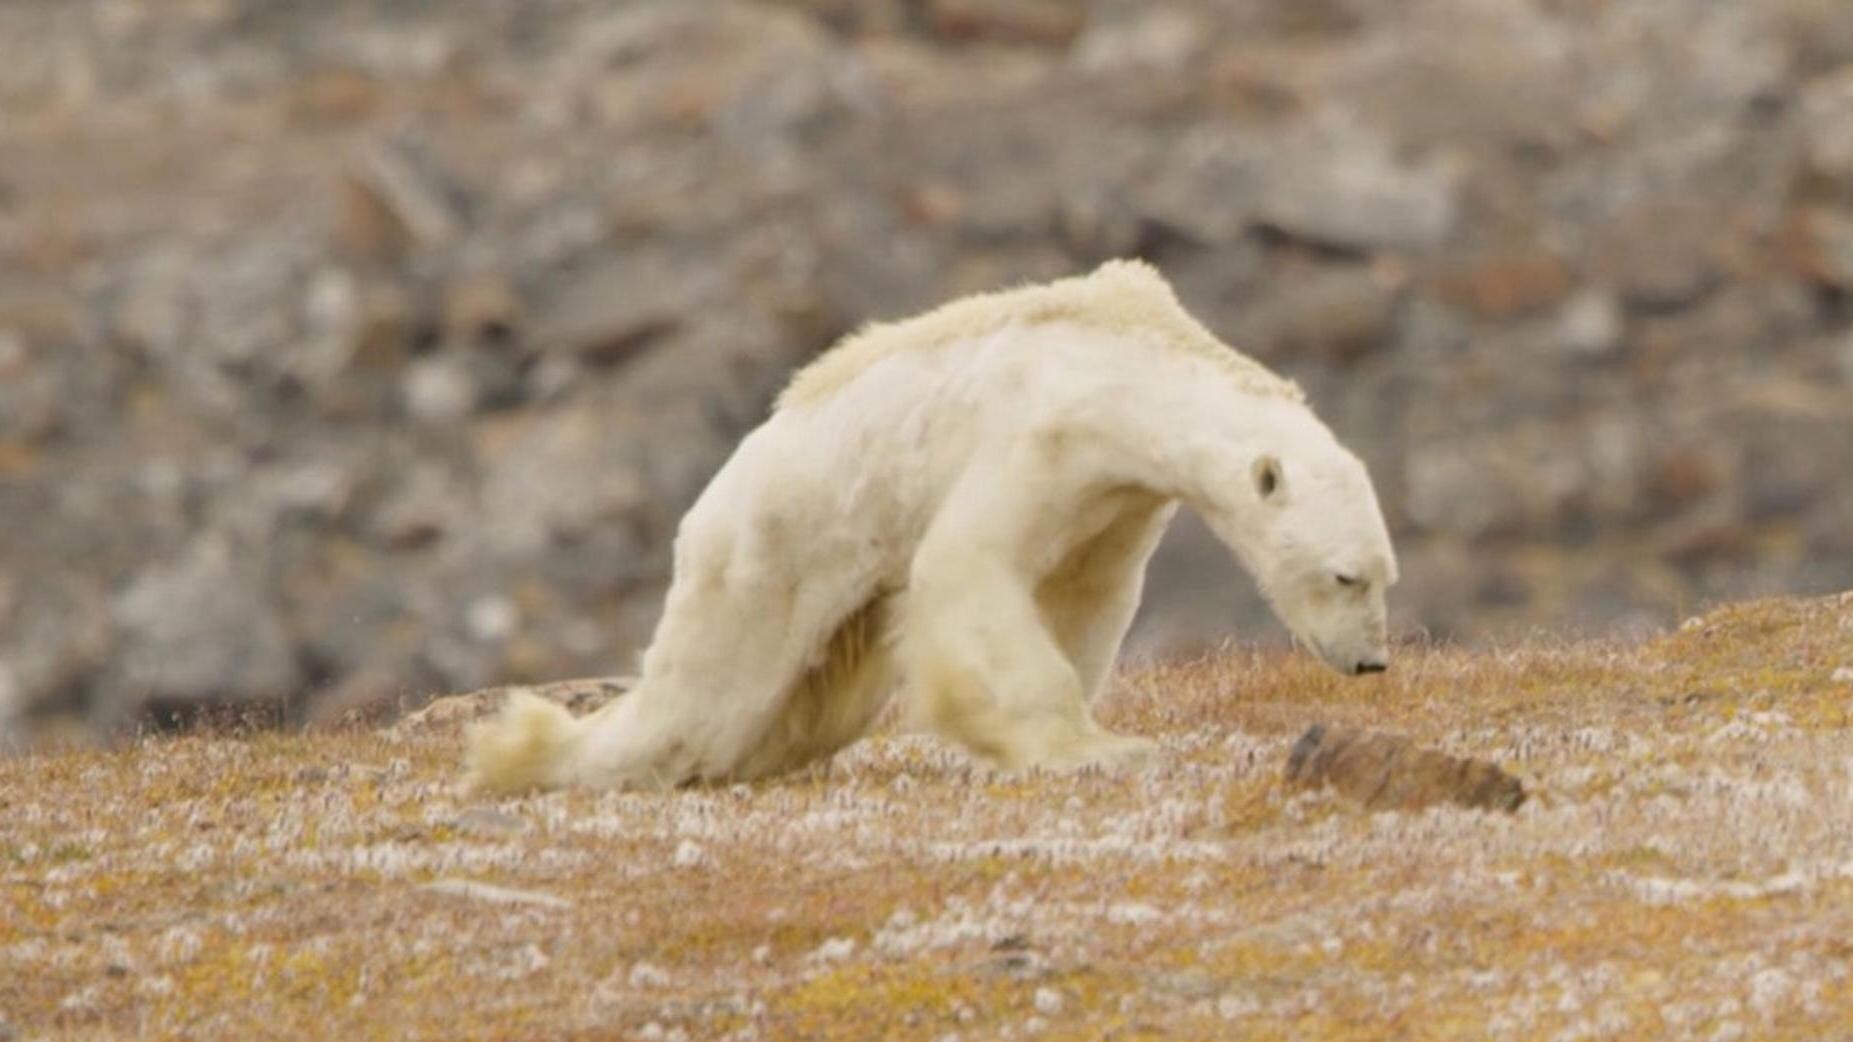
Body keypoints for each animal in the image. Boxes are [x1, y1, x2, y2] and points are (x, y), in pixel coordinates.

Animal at [470, 257, 1393, 786]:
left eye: (1384, 576)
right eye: (1343, 575)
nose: (1372, 662)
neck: (1127, 363)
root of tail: (708, 502)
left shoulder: (1117, 497)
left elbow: (1085, 596)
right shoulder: (1036, 435)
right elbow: (969, 568)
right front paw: (1091, 749)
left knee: (804, 707)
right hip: (768, 550)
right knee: (703, 702)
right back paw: (528, 756)